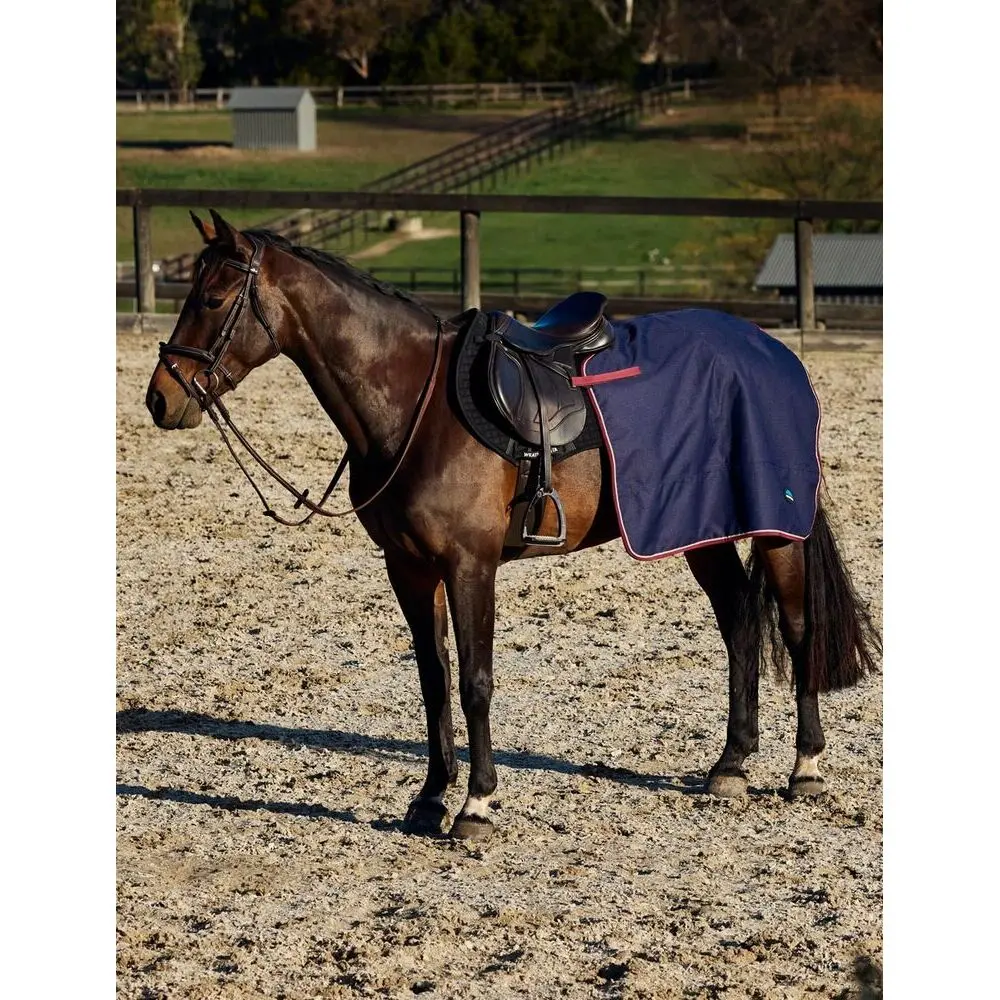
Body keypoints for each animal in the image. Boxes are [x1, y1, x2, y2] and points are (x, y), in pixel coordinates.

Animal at [144, 210, 881, 841]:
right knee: (739, 624)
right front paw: (430, 799)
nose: (161, 397)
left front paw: (476, 805)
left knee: (797, 628)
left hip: (775, 529)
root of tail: (774, 355)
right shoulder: (408, 567)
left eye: (213, 300)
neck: (415, 406)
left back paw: (805, 769)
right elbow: (434, 680)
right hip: (703, 530)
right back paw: (730, 767)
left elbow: (476, 682)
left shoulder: (470, 564)